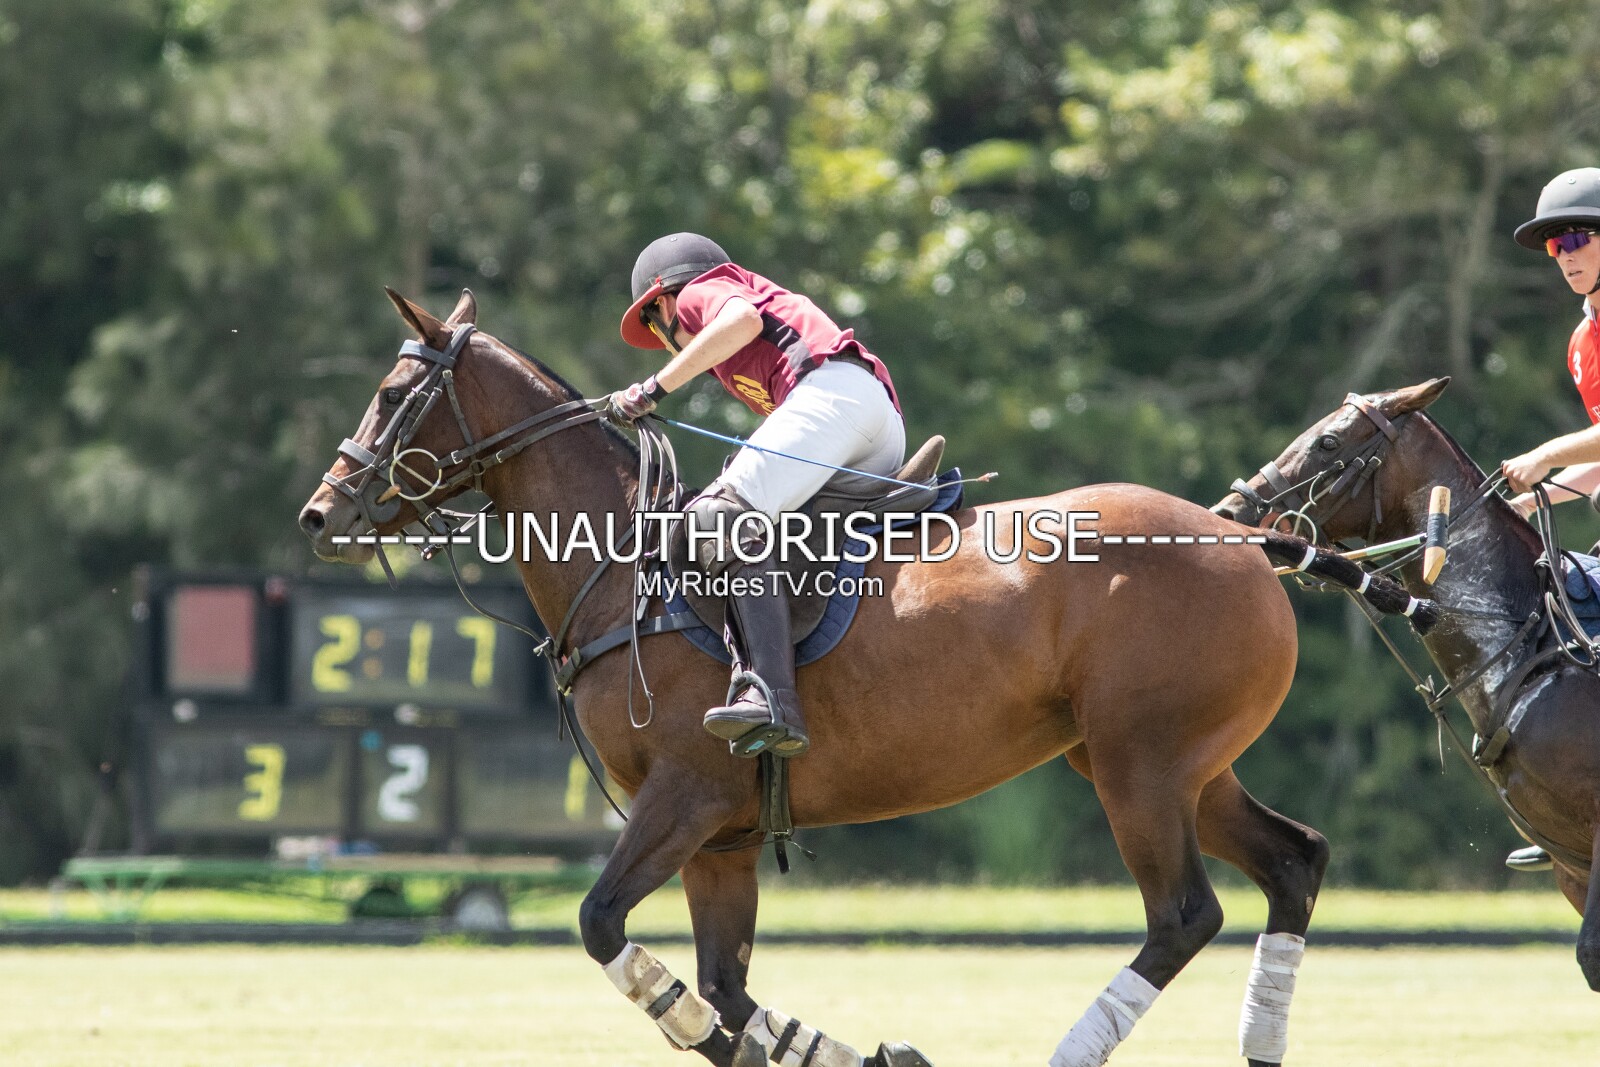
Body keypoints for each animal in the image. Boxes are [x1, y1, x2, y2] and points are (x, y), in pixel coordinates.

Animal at [298, 289, 1428, 1067]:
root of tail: (1248, 539)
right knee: (1293, 860)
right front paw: (858, 1050)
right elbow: (727, 991)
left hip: (1137, 765)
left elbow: (612, 935)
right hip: (1184, 763)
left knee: (1184, 913)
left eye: (394, 395)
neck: (623, 561)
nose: (321, 511)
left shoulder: (683, 795)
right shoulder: (722, 836)